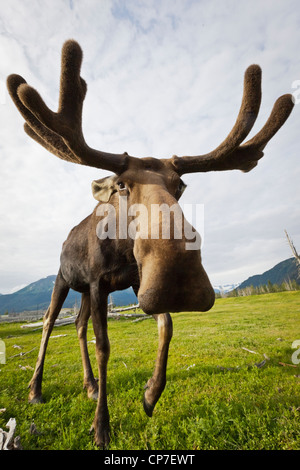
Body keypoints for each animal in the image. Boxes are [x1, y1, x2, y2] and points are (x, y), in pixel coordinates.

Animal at [6, 38, 292, 446]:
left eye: (181, 184)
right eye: (122, 184)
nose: (178, 275)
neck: (121, 254)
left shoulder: (133, 283)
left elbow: (166, 323)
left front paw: (150, 393)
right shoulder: (99, 282)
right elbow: (105, 346)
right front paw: (101, 426)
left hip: (83, 290)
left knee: (76, 325)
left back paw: (90, 385)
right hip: (63, 279)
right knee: (48, 323)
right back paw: (36, 389)